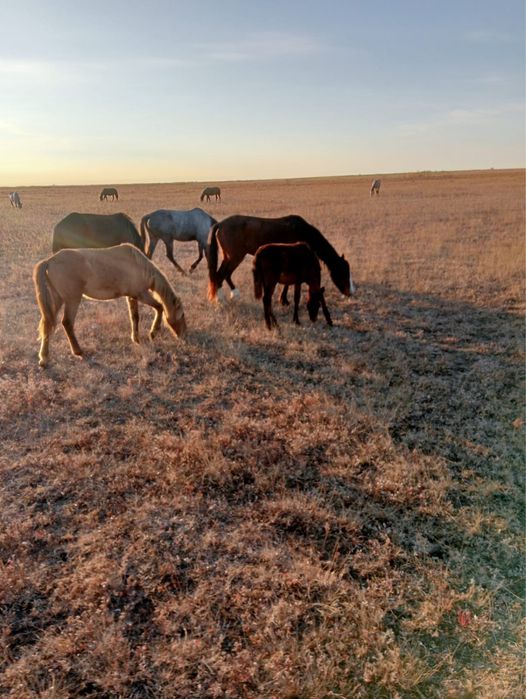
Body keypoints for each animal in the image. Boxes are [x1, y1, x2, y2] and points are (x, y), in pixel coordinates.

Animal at [33, 243, 187, 368]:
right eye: (182, 315)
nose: (183, 335)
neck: (138, 265)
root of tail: (50, 261)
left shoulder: (132, 297)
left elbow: (135, 317)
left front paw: (136, 339)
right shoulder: (141, 294)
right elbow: (159, 307)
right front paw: (153, 332)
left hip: (58, 300)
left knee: (47, 324)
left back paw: (44, 359)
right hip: (72, 300)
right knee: (67, 323)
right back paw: (78, 352)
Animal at [207, 214, 355, 302]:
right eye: (343, 272)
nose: (350, 293)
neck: (302, 231)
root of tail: (220, 224)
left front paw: (283, 299)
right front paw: (283, 299)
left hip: (229, 257)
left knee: (223, 275)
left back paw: (232, 294)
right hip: (235, 257)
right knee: (220, 275)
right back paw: (219, 300)